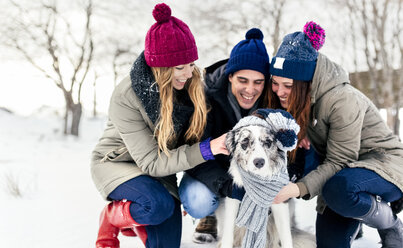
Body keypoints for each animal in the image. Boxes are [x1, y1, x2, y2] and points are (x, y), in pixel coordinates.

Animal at [216, 109, 318, 248]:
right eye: (245, 142)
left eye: (268, 142)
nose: (259, 162)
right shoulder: (233, 199)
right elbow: (228, 235)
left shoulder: (280, 204)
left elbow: (286, 238)